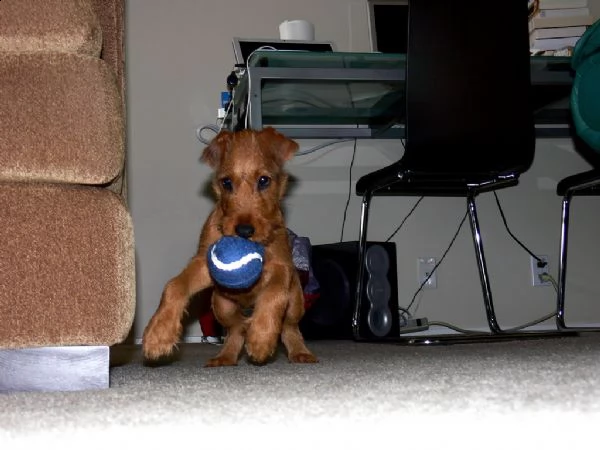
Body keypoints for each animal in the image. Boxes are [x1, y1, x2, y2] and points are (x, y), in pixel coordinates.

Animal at [142, 126, 316, 366]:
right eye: (226, 183)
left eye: (264, 180)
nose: (244, 231)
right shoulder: (203, 263)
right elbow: (174, 285)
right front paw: (158, 334)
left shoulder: (281, 267)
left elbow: (273, 293)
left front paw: (261, 338)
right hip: (221, 305)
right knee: (237, 329)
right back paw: (225, 356)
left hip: (295, 302)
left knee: (289, 327)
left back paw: (299, 351)